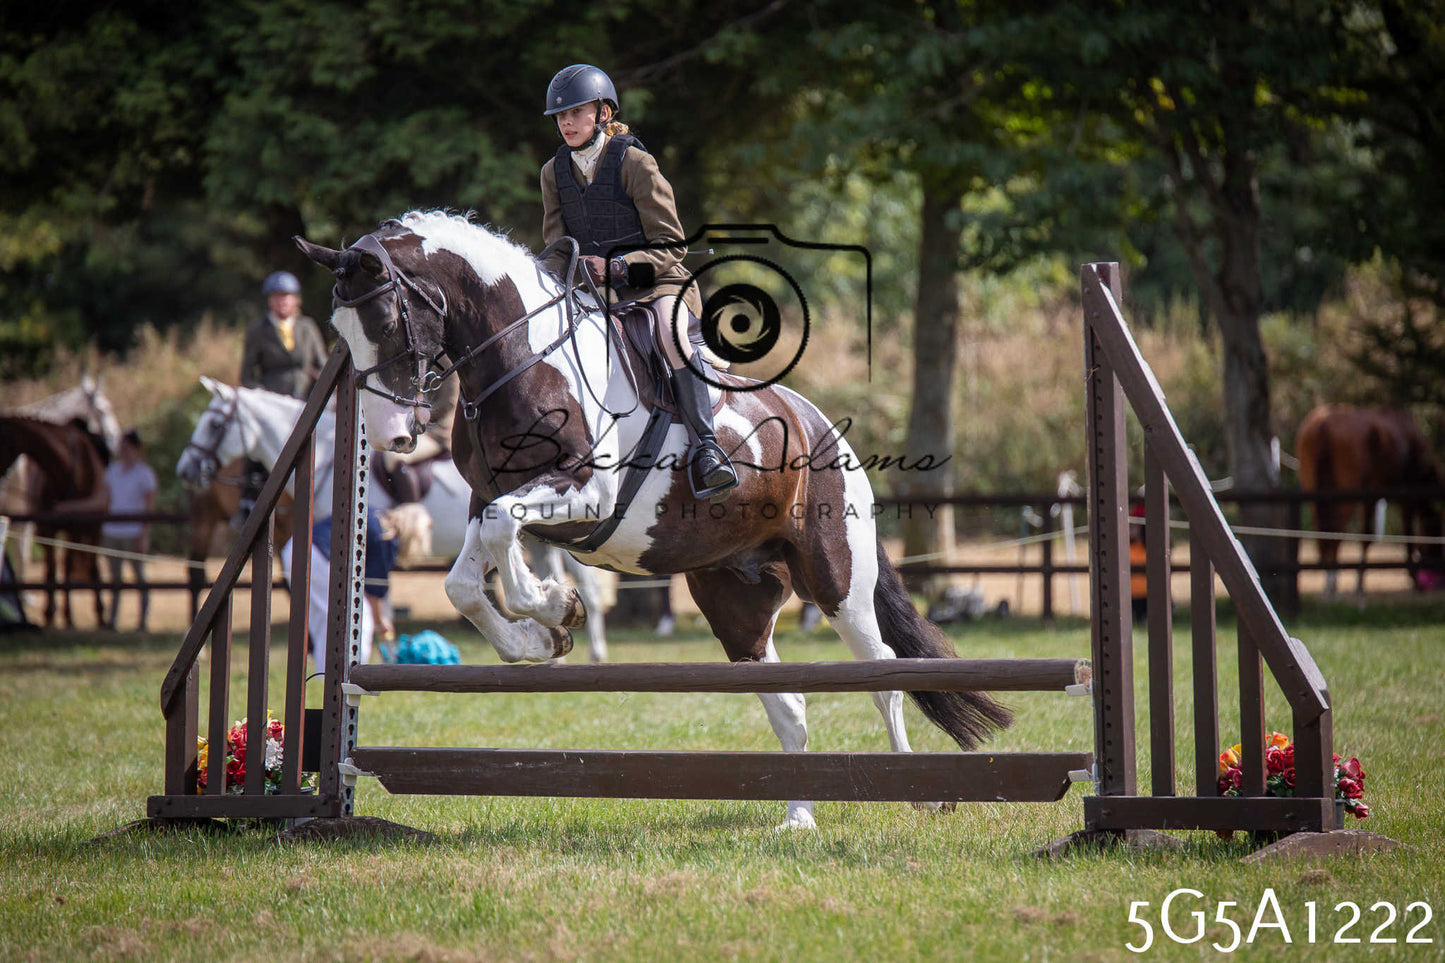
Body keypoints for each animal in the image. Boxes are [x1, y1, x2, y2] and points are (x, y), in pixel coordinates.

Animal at [0, 416, 109, 628]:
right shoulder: (47, 529)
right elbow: (51, 570)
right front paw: (49, 614)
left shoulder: (75, 528)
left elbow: (66, 568)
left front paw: (68, 617)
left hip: (95, 529)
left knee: (92, 567)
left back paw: (100, 614)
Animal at [176, 378, 611, 661]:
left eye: (215, 424)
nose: (186, 470)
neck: (328, 458)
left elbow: (371, 593)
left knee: (587, 584)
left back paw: (594, 649)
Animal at [295, 211, 1011, 829]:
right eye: (339, 328)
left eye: (386, 316)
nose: (391, 435)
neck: (522, 357)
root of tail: (824, 428)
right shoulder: (488, 500)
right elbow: (467, 579)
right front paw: (540, 637)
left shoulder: (586, 492)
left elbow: (506, 538)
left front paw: (555, 607)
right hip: (736, 601)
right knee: (788, 700)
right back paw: (798, 818)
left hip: (837, 583)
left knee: (885, 676)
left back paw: (915, 792)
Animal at [1295, 404, 1444, 599]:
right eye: (1437, 529)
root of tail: (1324, 424)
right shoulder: (1403, 495)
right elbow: (1403, 535)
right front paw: (1413, 580)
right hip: (1346, 491)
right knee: (1336, 531)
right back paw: (1332, 584)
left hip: (1312, 487)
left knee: (1325, 532)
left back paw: (1329, 582)